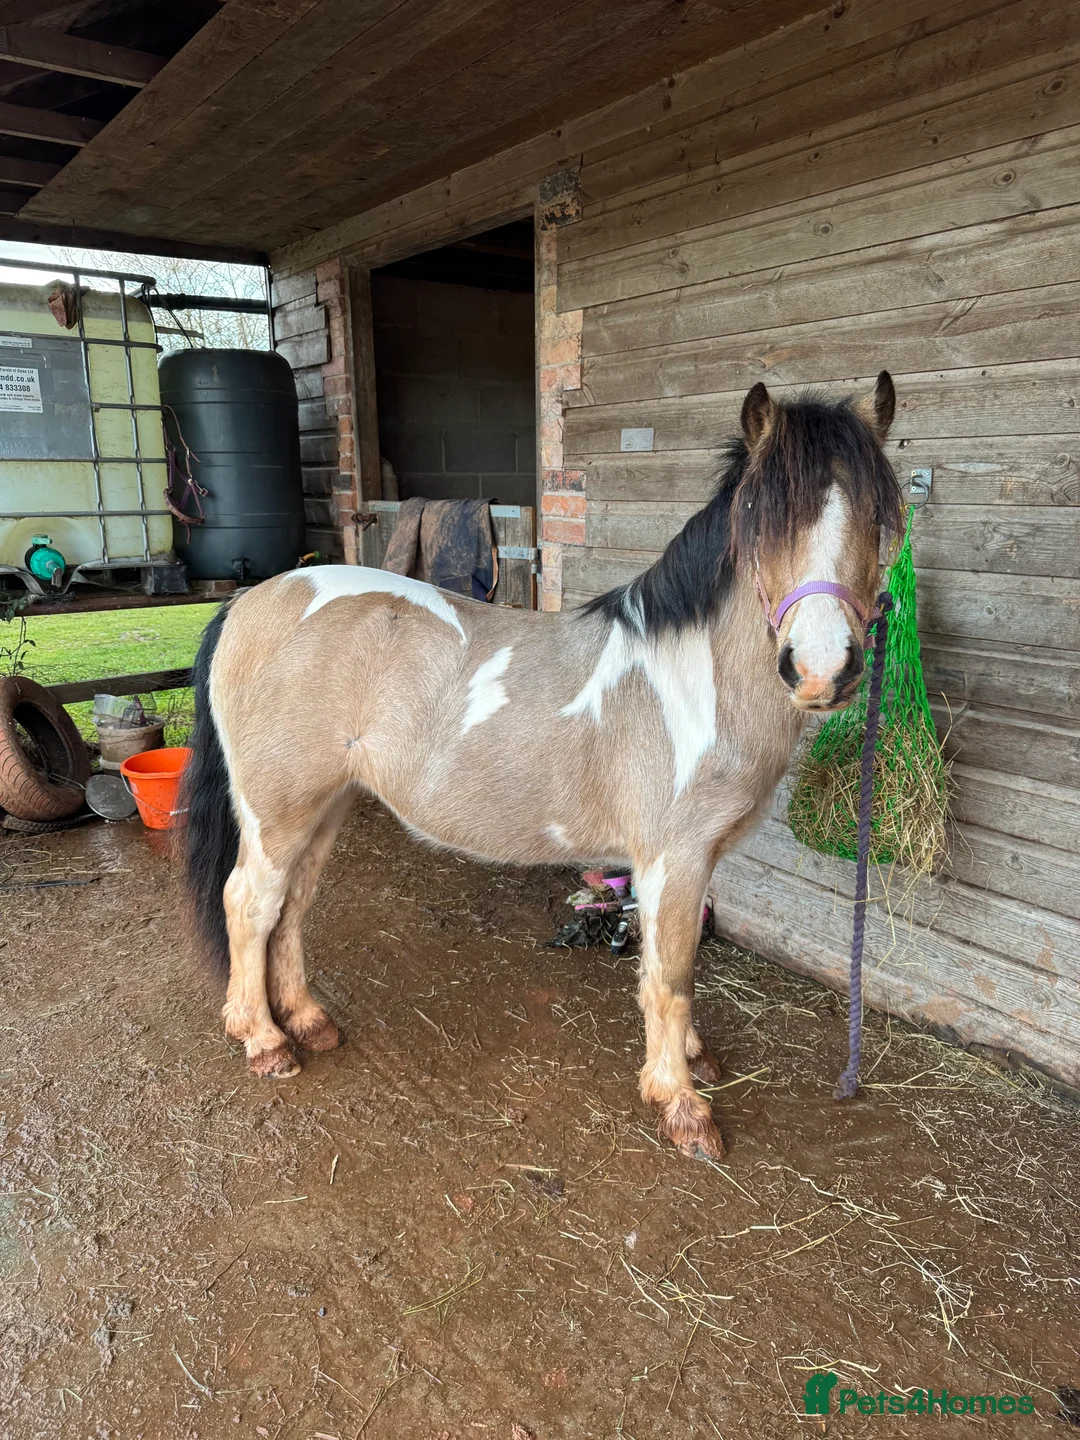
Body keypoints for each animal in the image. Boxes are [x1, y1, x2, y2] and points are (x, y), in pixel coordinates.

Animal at [180, 373, 903, 1161]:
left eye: (879, 514)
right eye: (762, 518)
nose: (823, 670)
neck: (691, 679)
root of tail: (250, 601)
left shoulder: (695, 859)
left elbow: (670, 966)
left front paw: (691, 1060)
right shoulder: (673, 857)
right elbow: (671, 974)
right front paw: (680, 1103)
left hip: (326, 806)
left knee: (293, 907)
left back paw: (308, 1021)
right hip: (277, 812)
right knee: (249, 904)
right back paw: (264, 1041)